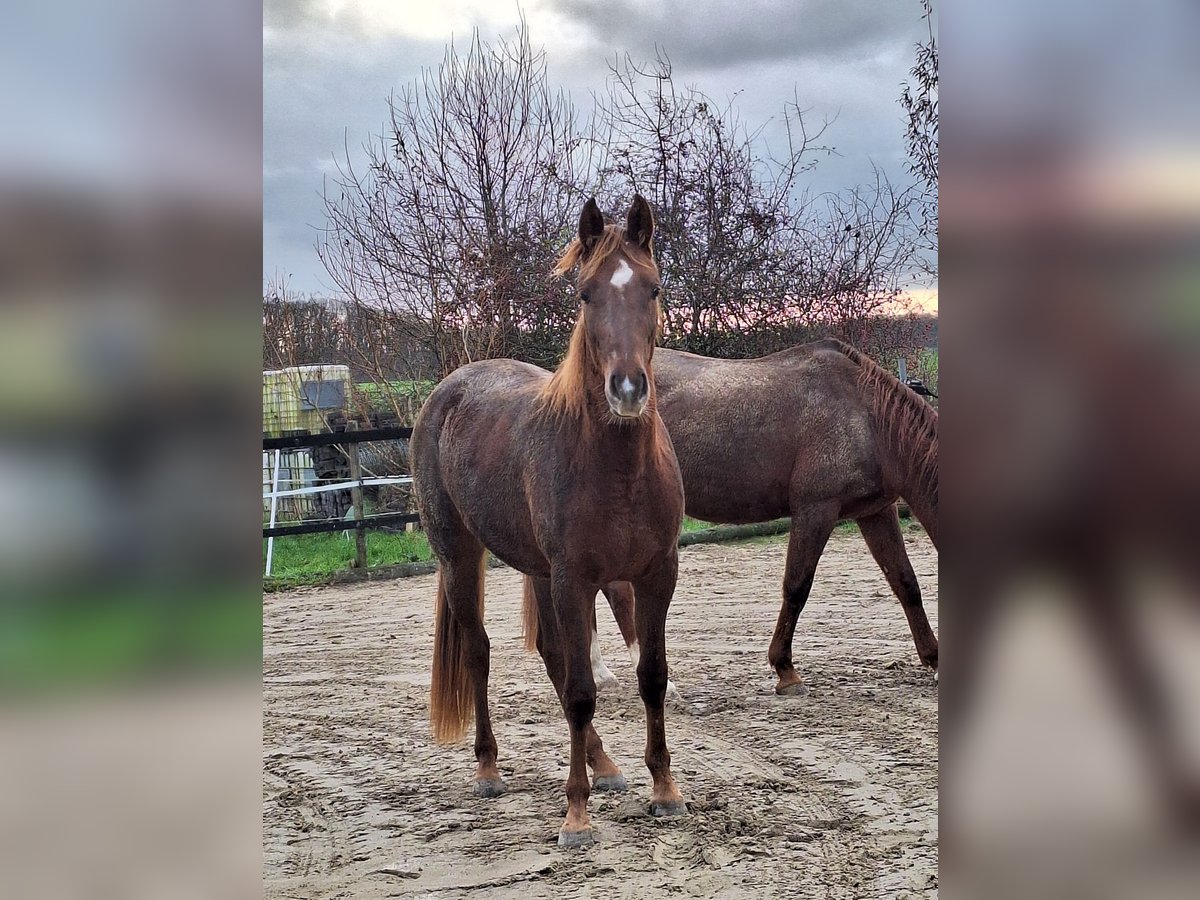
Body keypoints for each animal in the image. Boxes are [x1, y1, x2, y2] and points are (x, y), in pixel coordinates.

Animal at [410, 195, 687, 848]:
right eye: (586, 294)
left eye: (653, 288)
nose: (628, 389)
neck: (617, 471)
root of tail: (447, 393)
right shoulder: (574, 579)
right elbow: (583, 690)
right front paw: (576, 816)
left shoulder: (656, 575)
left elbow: (651, 675)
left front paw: (664, 789)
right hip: (462, 557)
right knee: (481, 652)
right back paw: (488, 770)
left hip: (536, 569)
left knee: (551, 653)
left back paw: (604, 763)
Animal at [593, 340, 939, 695]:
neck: (866, 415)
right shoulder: (816, 510)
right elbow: (796, 587)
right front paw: (785, 670)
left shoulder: (875, 512)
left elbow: (905, 582)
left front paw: (934, 658)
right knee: (616, 590)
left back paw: (601, 673)